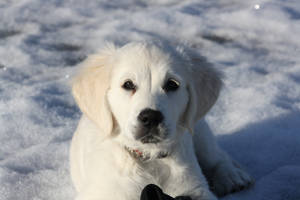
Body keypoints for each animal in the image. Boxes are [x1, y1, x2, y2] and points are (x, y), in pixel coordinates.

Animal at [69, 41, 253, 199]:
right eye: (128, 84)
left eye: (172, 84)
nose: (151, 117)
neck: (150, 159)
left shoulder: (195, 190)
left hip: (199, 131)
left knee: (218, 155)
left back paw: (232, 176)